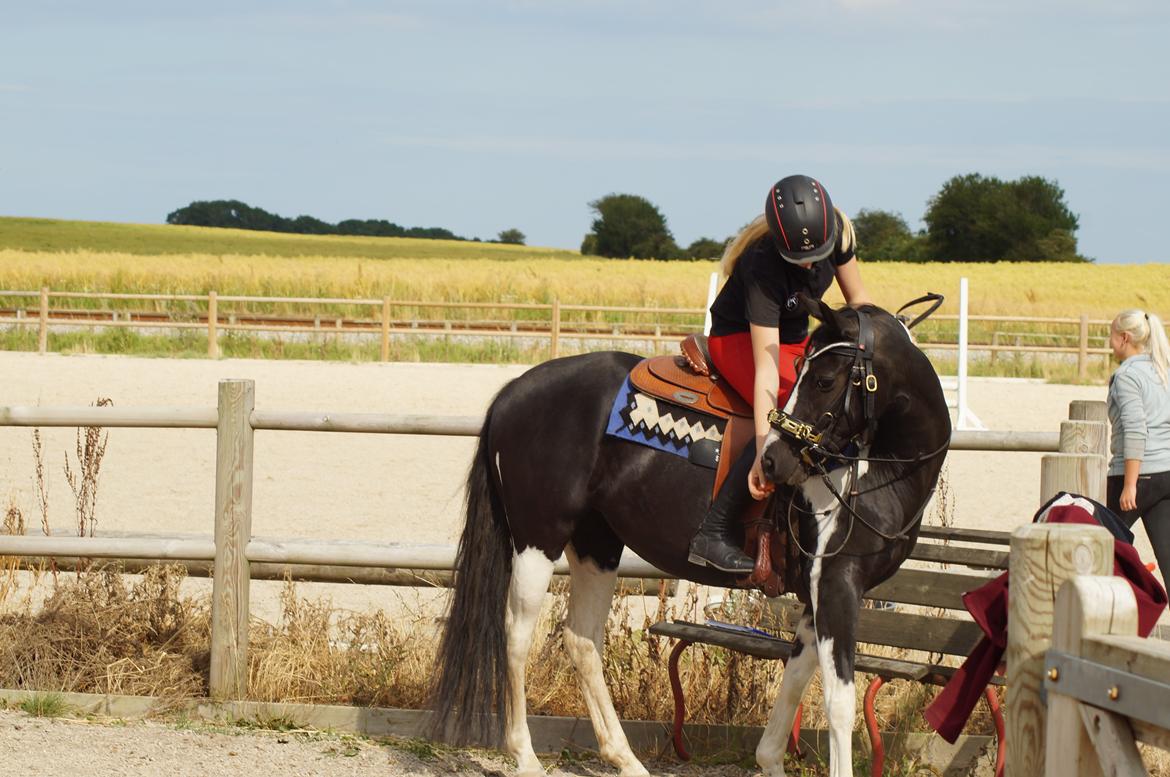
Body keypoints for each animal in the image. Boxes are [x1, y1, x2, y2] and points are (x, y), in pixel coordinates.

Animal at [426, 295, 952, 777]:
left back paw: (625, 759)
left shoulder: (816, 596)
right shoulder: (839, 586)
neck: (872, 471)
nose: (773, 462)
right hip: (538, 540)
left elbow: (796, 678)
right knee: (516, 636)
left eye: (824, 379)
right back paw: (526, 757)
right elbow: (839, 703)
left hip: (597, 546)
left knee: (582, 640)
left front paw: (769, 760)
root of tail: (515, 389)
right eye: (810, 376)